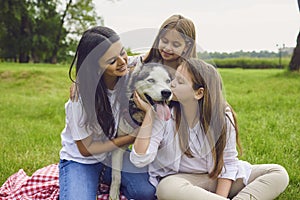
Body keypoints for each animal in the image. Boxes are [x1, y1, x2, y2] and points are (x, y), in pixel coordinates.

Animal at [109, 61, 172, 199]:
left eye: (168, 81)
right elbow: (116, 176)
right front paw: (113, 195)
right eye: (151, 80)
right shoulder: (118, 145)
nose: (167, 92)